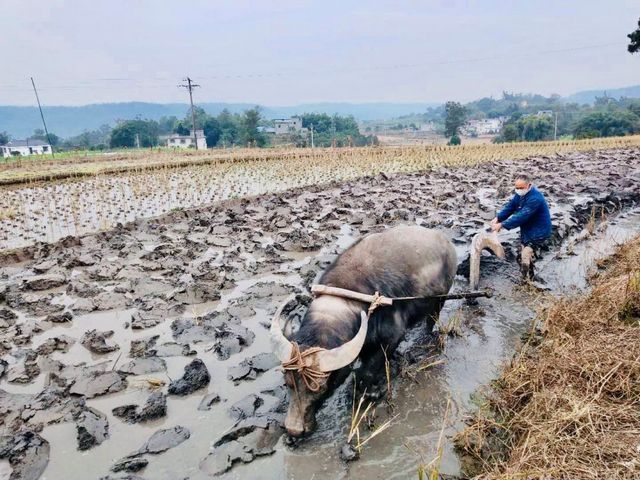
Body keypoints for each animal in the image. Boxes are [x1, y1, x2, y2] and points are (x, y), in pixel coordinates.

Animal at [268, 225, 456, 438]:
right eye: (288, 383)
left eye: (320, 388)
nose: (294, 429)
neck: (346, 296)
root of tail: (446, 243)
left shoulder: (391, 338)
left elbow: (366, 371)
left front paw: (368, 392)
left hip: (440, 300)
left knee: (432, 319)